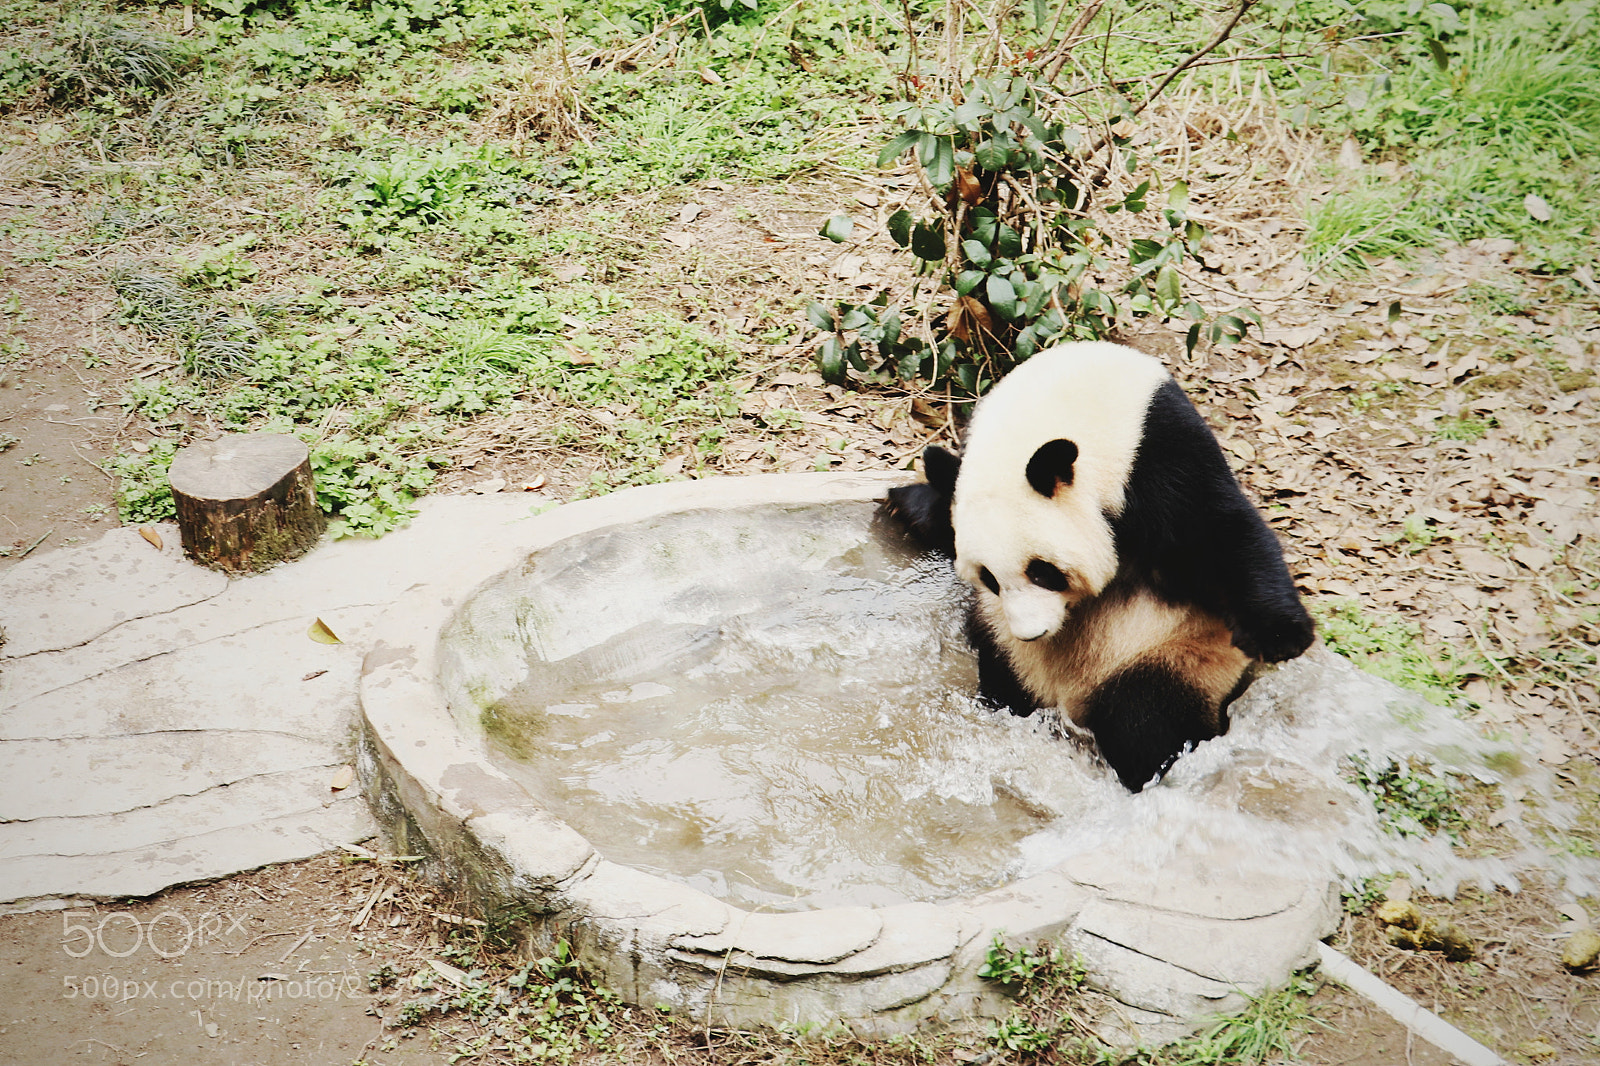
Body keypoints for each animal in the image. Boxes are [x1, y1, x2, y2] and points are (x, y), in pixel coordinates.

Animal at [887, 341, 1314, 792]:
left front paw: (1281, 636)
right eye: (989, 579)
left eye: (1041, 571)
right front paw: (909, 503)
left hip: (1169, 651)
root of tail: (1065, 699)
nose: (1031, 633)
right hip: (1010, 647)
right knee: (1005, 681)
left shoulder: (1163, 456)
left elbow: (1219, 533)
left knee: (1146, 717)